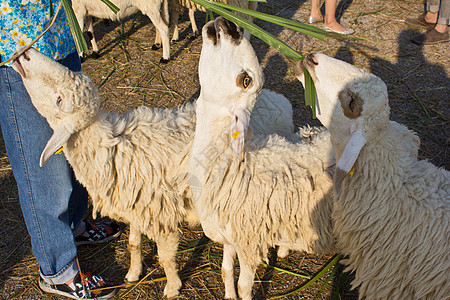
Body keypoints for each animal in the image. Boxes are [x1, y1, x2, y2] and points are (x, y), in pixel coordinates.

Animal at [9, 47, 298, 298]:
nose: (23, 54)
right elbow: (133, 244)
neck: (111, 149)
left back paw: (283, 250)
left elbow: (165, 257)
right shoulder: (137, 207)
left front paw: (172, 287)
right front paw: (133, 273)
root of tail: (279, 100)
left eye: (59, 99)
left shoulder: (161, 213)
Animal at [188, 17, 336, 300]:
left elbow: (245, 285)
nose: (229, 24)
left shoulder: (249, 242)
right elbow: (225, 271)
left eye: (245, 79)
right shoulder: (230, 237)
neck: (230, 165)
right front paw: (228, 295)